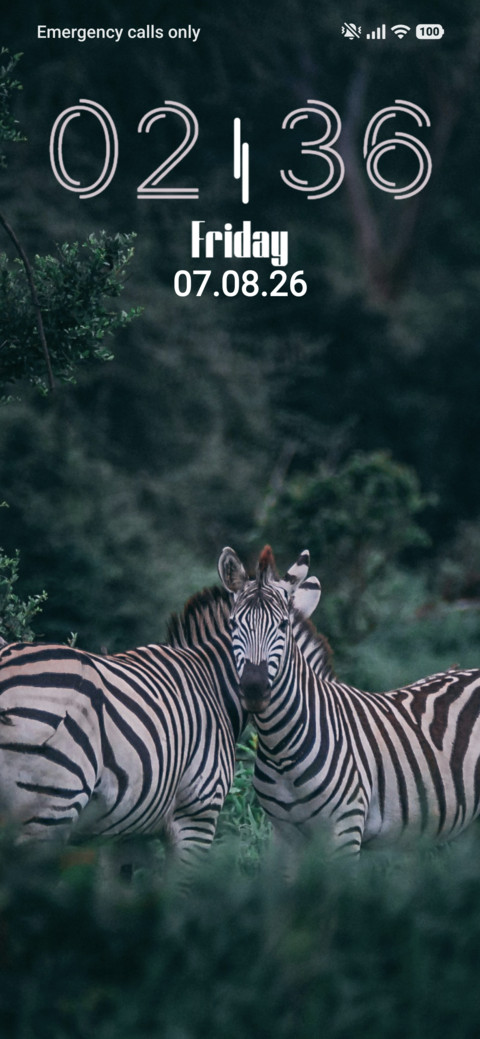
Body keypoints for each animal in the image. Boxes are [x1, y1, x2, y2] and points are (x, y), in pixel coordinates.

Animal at [0, 565, 328, 863]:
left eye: (283, 627)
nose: (254, 689)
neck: (212, 684)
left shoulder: (125, 831)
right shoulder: (196, 815)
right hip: (49, 807)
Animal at [218, 544, 480, 857]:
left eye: (283, 625)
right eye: (233, 623)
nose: (254, 689)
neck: (281, 749)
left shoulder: (345, 830)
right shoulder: (284, 836)